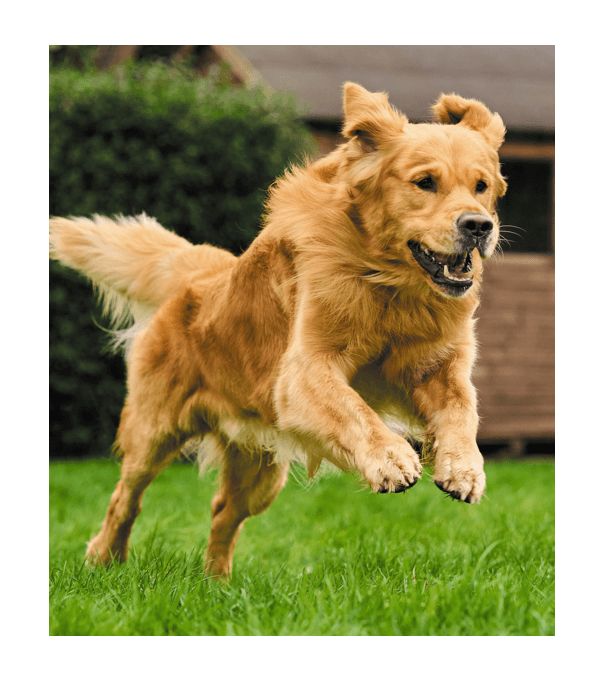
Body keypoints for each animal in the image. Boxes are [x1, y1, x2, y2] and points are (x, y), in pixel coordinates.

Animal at [50, 82, 504, 580]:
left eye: (481, 186)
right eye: (425, 182)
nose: (479, 226)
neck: (386, 283)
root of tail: (203, 274)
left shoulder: (437, 366)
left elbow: (463, 409)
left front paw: (464, 468)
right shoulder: (304, 372)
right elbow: (353, 409)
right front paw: (391, 460)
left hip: (259, 468)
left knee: (223, 512)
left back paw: (218, 585)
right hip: (154, 432)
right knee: (125, 497)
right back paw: (103, 559)